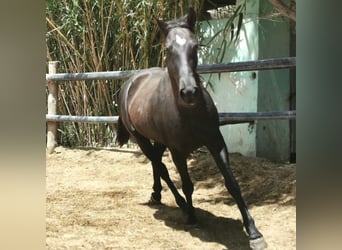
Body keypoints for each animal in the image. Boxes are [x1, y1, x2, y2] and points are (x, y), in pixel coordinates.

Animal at [116, 8, 266, 250]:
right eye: (168, 49)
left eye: (195, 46)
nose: (189, 92)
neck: (190, 113)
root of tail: (130, 82)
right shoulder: (177, 151)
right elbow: (187, 184)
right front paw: (193, 218)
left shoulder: (216, 142)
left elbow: (232, 184)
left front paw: (253, 232)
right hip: (140, 138)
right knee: (161, 167)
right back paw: (182, 206)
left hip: (158, 140)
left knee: (156, 165)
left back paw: (156, 195)